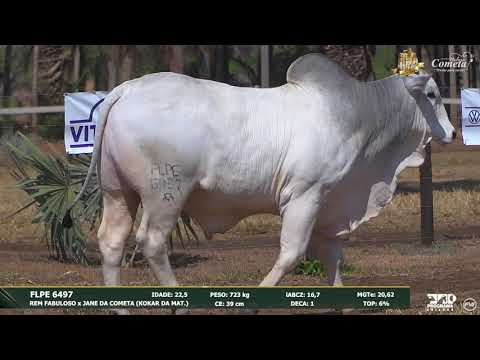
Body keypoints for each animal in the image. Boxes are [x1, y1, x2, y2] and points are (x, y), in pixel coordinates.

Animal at [65, 53, 456, 294]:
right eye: (432, 94)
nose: (452, 133)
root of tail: (127, 89)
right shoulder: (304, 196)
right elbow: (292, 254)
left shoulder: (329, 204)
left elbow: (331, 258)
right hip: (166, 194)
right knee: (152, 241)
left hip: (118, 192)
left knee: (111, 241)